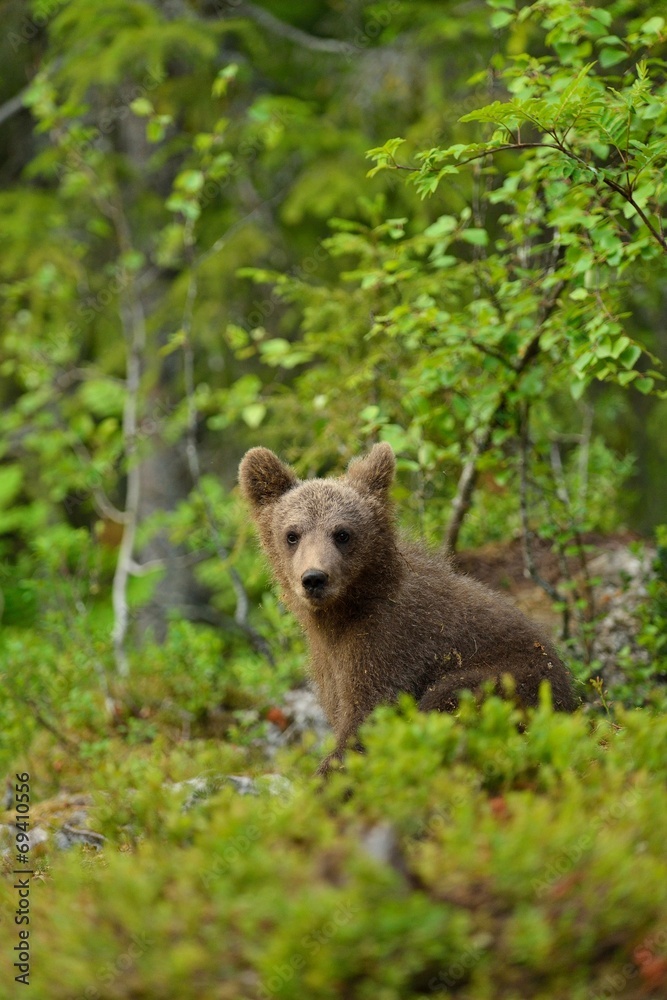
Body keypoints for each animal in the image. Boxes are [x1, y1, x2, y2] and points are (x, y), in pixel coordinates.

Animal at [239, 442, 576, 776]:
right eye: (292, 534)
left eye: (342, 533)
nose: (314, 578)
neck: (345, 612)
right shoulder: (330, 664)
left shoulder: (388, 644)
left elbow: (369, 718)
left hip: (508, 681)